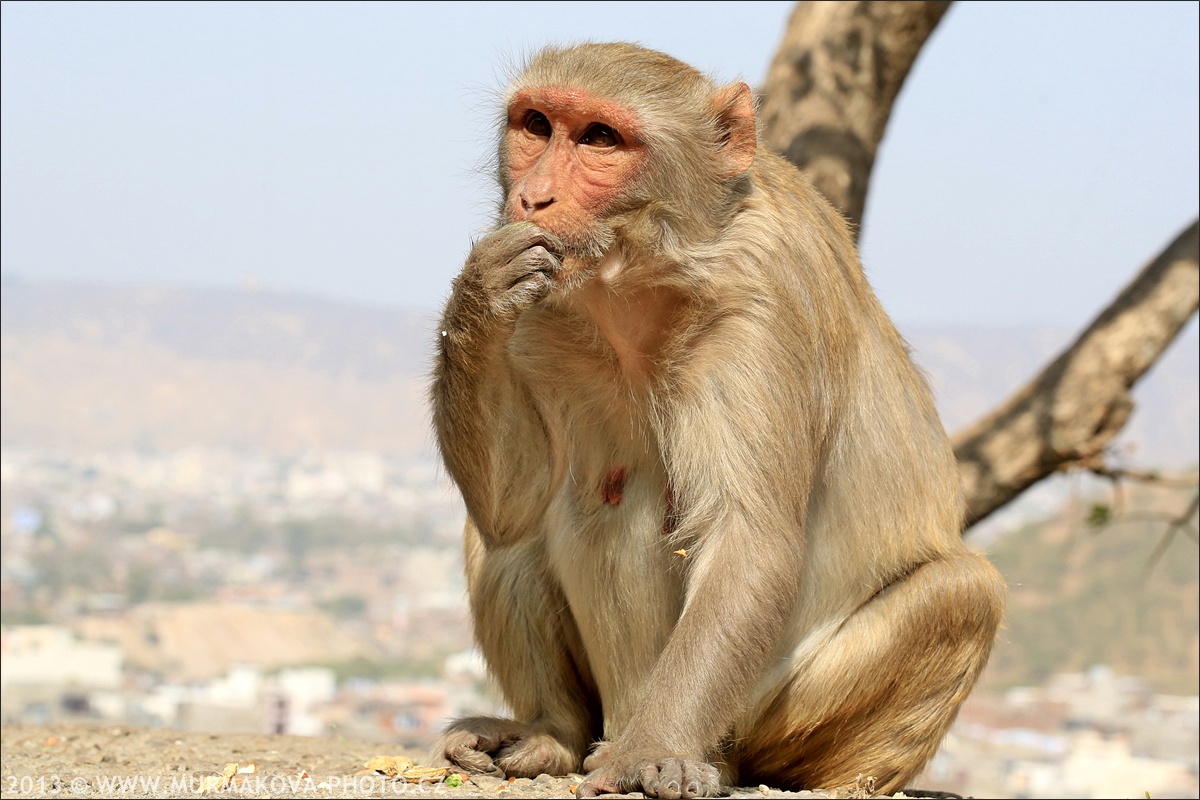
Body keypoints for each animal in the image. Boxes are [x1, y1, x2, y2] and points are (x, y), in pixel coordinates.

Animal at [432, 45, 1003, 800]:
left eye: (600, 138)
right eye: (535, 125)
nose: (533, 198)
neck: (645, 272)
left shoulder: (763, 297)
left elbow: (748, 535)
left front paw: (655, 753)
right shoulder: (548, 302)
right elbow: (510, 505)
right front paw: (481, 290)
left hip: (763, 714)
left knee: (963, 593)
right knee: (519, 524)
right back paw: (552, 734)